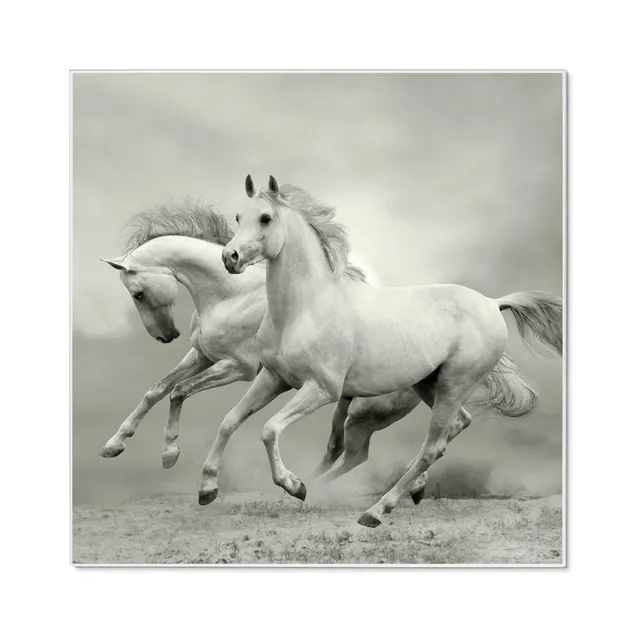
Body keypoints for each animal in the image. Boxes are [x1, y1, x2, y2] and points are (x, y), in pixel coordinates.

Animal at [99, 200, 503, 502]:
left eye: (138, 294)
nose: (166, 336)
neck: (230, 293)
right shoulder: (204, 356)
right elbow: (158, 390)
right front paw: (116, 445)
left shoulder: (238, 367)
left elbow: (180, 391)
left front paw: (170, 454)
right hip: (399, 397)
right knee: (441, 427)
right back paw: (409, 487)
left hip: (368, 411)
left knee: (372, 448)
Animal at [212, 175, 562, 527]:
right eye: (239, 217)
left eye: (265, 218)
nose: (230, 257)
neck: (305, 309)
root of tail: (493, 303)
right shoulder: (274, 378)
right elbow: (230, 420)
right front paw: (207, 488)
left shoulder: (321, 389)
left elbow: (269, 429)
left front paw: (294, 485)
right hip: (428, 385)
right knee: (454, 427)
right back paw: (407, 490)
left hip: (452, 387)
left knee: (430, 448)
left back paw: (376, 510)